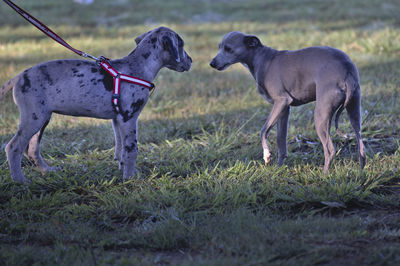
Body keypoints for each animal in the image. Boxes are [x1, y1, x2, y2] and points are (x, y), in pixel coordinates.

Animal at [0, 26, 192, 183]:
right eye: (181, 44)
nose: (191, 61)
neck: (138, 66)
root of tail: (19, 76)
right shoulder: (129, 118)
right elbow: (131, 149)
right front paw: (130, 178)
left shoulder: (118, 120)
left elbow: (120, 148)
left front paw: (124, 170)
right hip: (34, 118)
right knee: (13, 147)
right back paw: (20, 181)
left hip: (42, 118)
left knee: (31, 149)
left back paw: (47, 171)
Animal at [211, 31, 368, 172]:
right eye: (219, 46)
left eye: (228, 48)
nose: (212, 63)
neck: (262, 59)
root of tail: (346, 69)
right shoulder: (284, 109)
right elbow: (281, 140)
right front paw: (278, 167)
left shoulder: (282, 101)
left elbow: (263, 131)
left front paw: (266, 156)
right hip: (354, 111)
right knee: (361, 146)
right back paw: (361, 171)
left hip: (321, 115)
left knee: (330, 149)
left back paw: (324, 174)